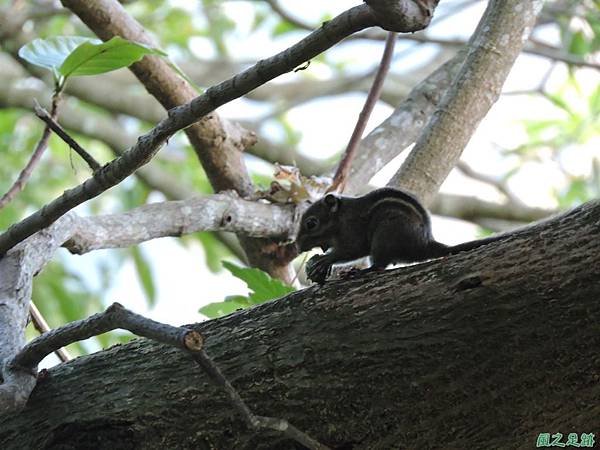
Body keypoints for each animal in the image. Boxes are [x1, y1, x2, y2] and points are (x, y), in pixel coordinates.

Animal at [296, 188, 506, 284]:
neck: (340, 218)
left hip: (386, 233)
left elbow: (352, 249)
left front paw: (326, 260)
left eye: (311, 224)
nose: (298, 246)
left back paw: (361, 271)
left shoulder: (352, 231)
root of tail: (424, 243)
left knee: (380, 265)